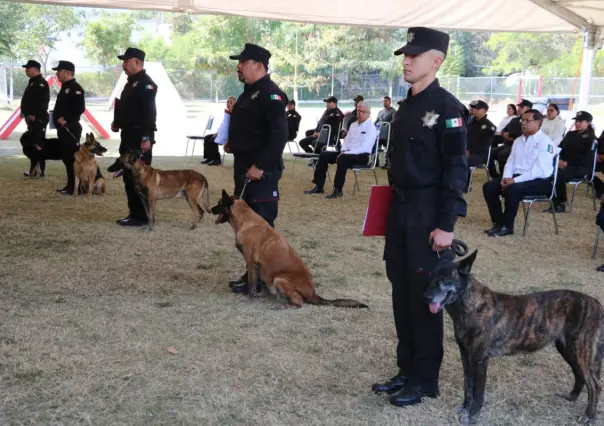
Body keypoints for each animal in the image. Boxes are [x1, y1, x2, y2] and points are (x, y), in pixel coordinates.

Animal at [210, 191, 370, 310]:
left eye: (219, 203)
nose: (209, 209)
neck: (245, 220)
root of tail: (313, 294)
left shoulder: (250, 263)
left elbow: (251, 285)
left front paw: (249, 299)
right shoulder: (259, 266)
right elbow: (259, 284)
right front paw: (259, 295)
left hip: (280, 279)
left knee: (299, 304)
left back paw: (282, 306)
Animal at [422, 251, 604, 424]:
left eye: (445, 279)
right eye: (430, 276)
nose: (426, 298)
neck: (469, 304)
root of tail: (597, 304)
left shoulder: (480, 360)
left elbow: (478, 392)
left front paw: (473, 416)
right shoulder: (466, 356)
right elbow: (468, 386)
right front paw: (465, 408)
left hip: (581, 352)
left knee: (594, 385)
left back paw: (589, 416)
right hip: (568, 350)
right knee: (580, 375)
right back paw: (572, 397)